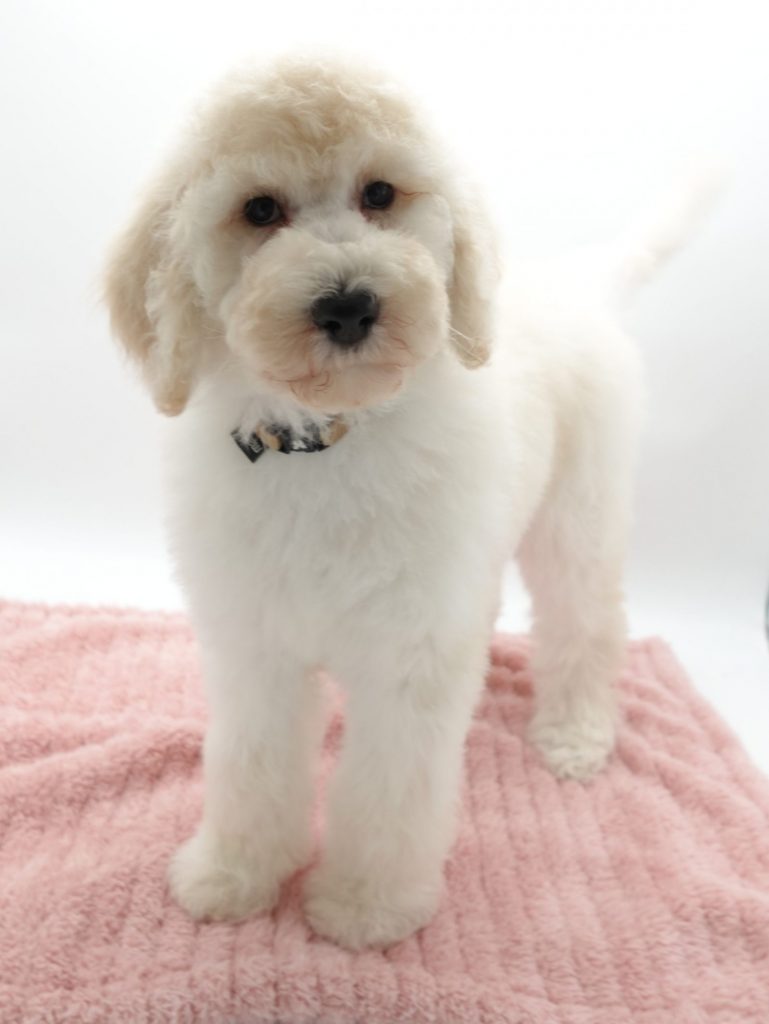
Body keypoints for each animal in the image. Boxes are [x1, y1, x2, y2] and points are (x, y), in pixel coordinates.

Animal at [104, 55, 716, 950]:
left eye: (380, 193)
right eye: (259, 210)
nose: (349, 303)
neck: (328, 440)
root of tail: (576, 283)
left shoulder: (407, 660)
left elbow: (390, 789)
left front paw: (365, 908)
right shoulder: (255, 650)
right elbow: (251, 763)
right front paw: (235, 873)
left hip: (579, 510)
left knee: (588, 620)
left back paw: (574, 732)